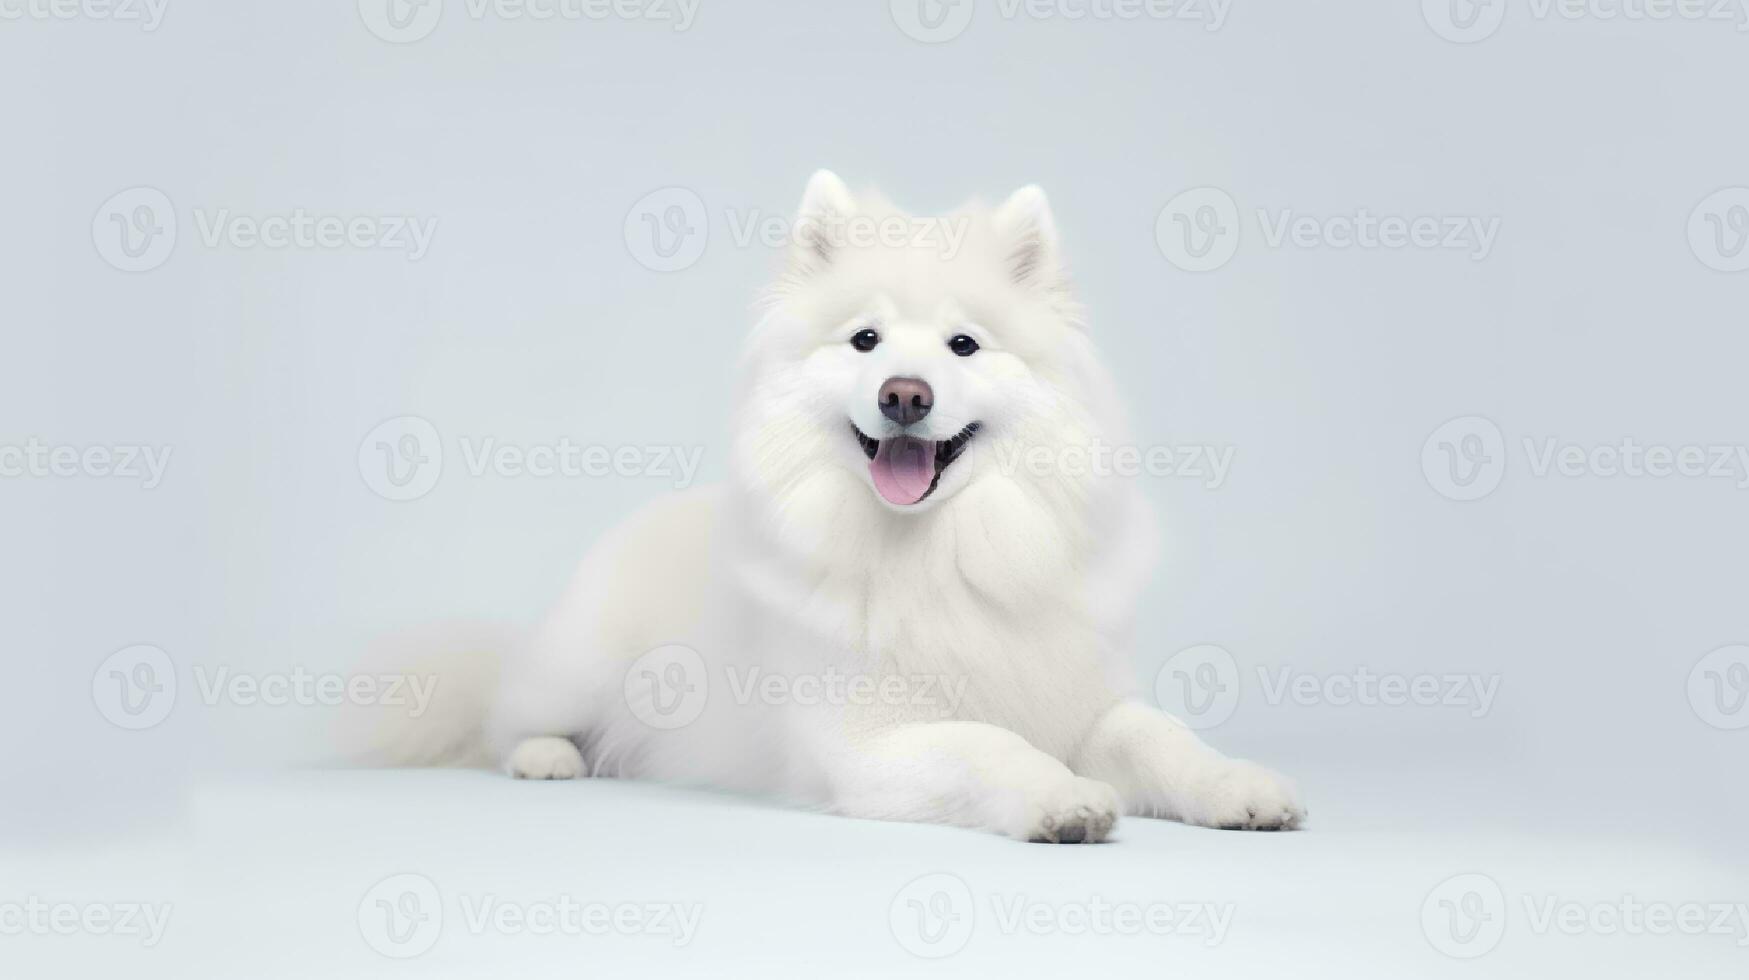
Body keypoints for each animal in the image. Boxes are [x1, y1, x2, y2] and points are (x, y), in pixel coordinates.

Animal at [369, 170, 1301, 843]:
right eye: (865, 340)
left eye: (963, 344)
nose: (904, 394)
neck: (944, 556)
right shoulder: (869, 744)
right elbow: (988, 744)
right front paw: (1061, 798)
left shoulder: (1079, 696)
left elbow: (1160, 737)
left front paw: (1240, 785)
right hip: (576, 669)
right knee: (505, 723)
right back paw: (549, 758)